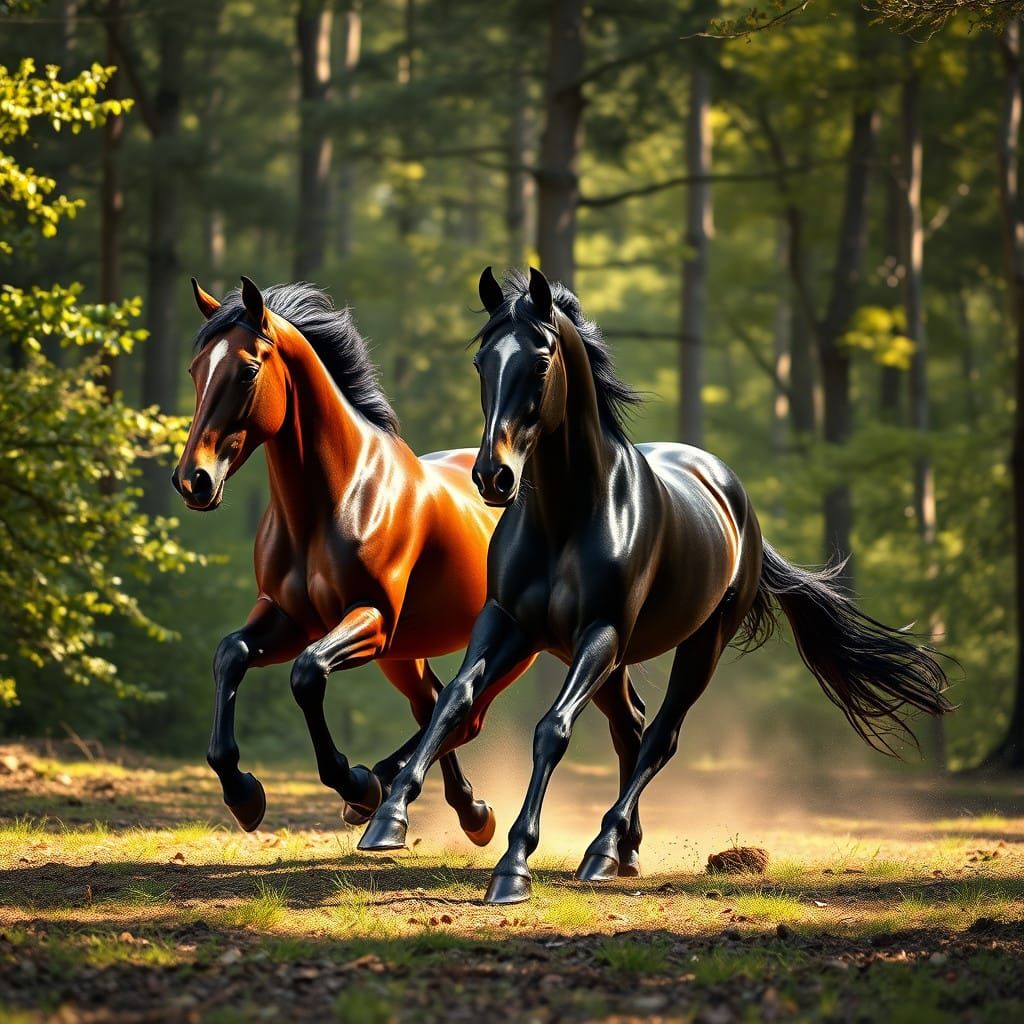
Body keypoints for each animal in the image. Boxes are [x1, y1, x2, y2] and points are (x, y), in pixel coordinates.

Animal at [358, 266, 953, 904]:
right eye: (481, 362)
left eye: (540, 363)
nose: (494, 477)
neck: (567, 516)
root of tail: (737, 500)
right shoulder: (509, 623)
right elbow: (453, 700)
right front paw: (387, 819)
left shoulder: (600, 632)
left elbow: (552, 730)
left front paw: (513, 864)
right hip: (605, 657)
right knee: (632, 727)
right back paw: (625, 852)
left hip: (696, 645)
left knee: (659, 736)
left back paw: (601, 849)